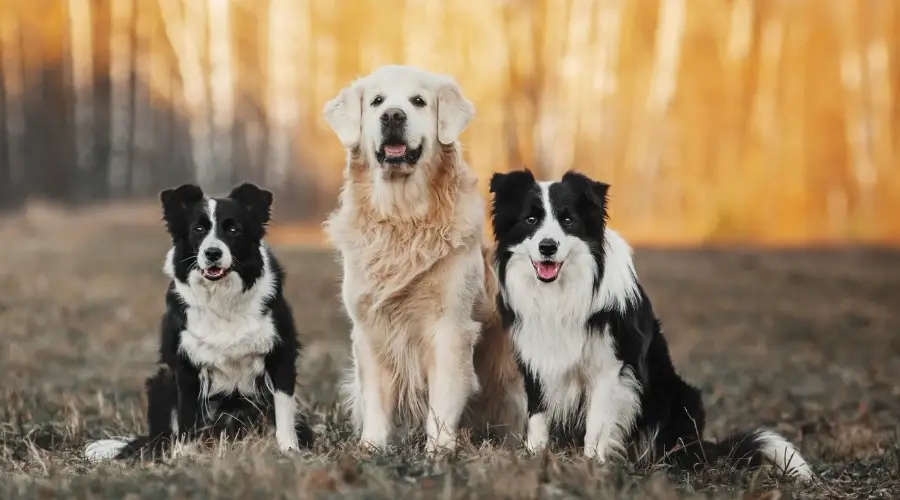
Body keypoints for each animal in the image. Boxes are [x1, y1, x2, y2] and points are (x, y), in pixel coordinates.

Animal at [82, 183, 312, 460]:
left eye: (233, 230)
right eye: (198, 229)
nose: (212, 252)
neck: (222, 297)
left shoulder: (281, 356)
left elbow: (283, 410)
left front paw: (289, 450)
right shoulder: (185, 366)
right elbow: (187, 416)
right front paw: (184, 455)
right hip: (160, 382)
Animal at [320, 64, 524, 452]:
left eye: (418, 101)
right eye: (377, 101)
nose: (392, 116)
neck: (403, 219)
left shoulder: (449, 328)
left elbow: (442, 400)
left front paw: (439, 451)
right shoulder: (371, 329)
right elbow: (376, 400)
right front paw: (371, 448)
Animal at [488, 170, 812, 482]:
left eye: (568, 220)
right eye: (531, 219)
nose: (547, 247)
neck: (560, 293)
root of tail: (704, 446)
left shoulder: (610, 368)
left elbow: (597, 425)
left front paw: (593, 468)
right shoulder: (537, 362)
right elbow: (538, 418)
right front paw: (535, 459)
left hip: (682, 397)